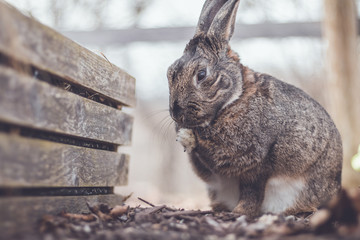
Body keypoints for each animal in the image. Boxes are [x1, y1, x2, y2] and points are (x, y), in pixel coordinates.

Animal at [167, 0, 342, 218]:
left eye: (201, 74)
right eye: (169, 73)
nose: (175, 112)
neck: (236, 96)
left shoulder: (253, 162)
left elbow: (250, 189)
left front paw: (240, 212)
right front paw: (184, 135)